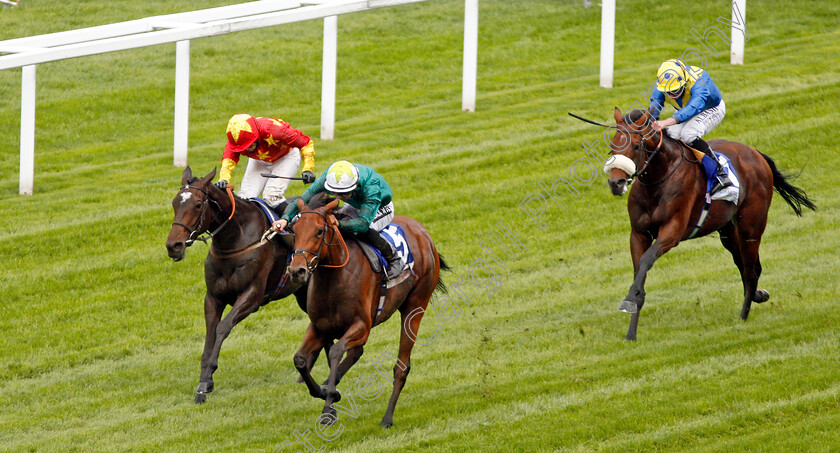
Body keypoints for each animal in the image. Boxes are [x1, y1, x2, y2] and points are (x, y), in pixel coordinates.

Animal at [166, 166, 306, 402]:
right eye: (175, 203)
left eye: (197, 204)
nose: (173, 246)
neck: (234, 240)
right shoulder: (213, 297)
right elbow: (210, 334)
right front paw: (204, 382)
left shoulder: (252, 296)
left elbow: (223, 327)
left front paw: (206, 380)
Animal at [288, 197, 450, 428]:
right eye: (295, 229)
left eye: (319, 231)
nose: (297, 271)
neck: (336, 278)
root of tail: (423, 233)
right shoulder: (320, 327)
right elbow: (300, 359)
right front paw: (326, 392)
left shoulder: (362, 326)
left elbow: (336, 352)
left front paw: (328, 409)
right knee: (357, 352)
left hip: (415, 307)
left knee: (401, 367)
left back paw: (387, 418)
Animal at [600, 108, 816, 340]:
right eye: (612, 146)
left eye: (636, 146)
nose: (616, 183)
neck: (659, 180)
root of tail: (756, 154)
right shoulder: (638, 234)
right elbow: (639, 271)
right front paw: (631, 330)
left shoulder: (673, 231)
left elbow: (647, 260)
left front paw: (629, 301)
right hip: (728, 230)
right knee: (745, 263)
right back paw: (758, 295)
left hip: (752, 225)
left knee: (750, 269)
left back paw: (743, 315)